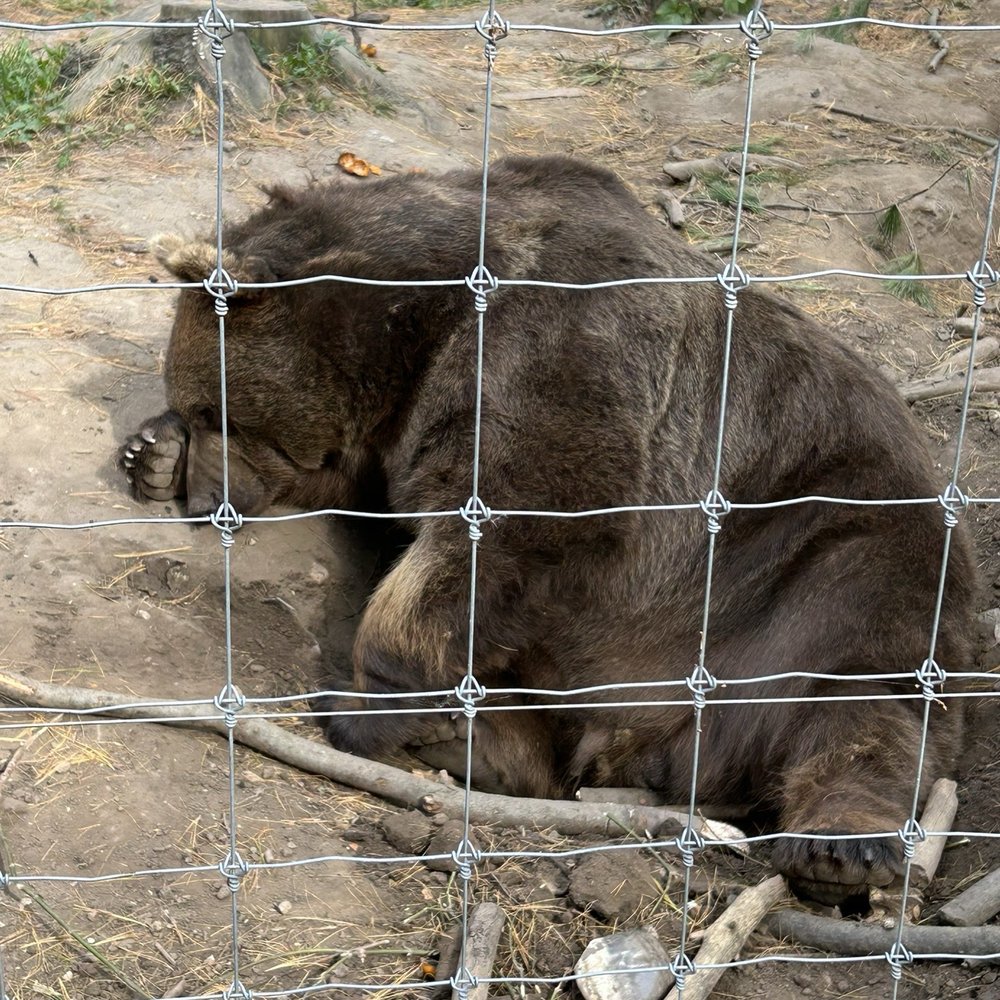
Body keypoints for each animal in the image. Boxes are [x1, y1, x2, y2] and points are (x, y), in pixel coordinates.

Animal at [120, 154, 975, 905]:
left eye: (216, 410)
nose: (206, 501)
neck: (424, 323)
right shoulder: (402, 422)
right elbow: (367, 487)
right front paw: (151, 454)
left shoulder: (564, 357)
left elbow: (506, 532)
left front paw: (365, 701)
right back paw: (476, 746)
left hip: (819, 559)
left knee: (865, 694)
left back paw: (841, 848)